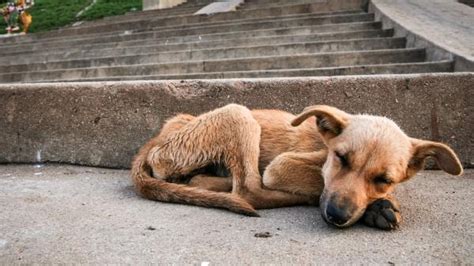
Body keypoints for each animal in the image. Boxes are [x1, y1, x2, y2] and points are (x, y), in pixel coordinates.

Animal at [131, 104, 462, 231]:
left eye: (383, 178)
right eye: (341, 158)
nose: (337, 216)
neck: (324, 144)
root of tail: (156, 139)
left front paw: (379, 203)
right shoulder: (281, 166)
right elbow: (318, 183)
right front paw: (378, 206)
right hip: (238, 113)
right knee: (249, 191)